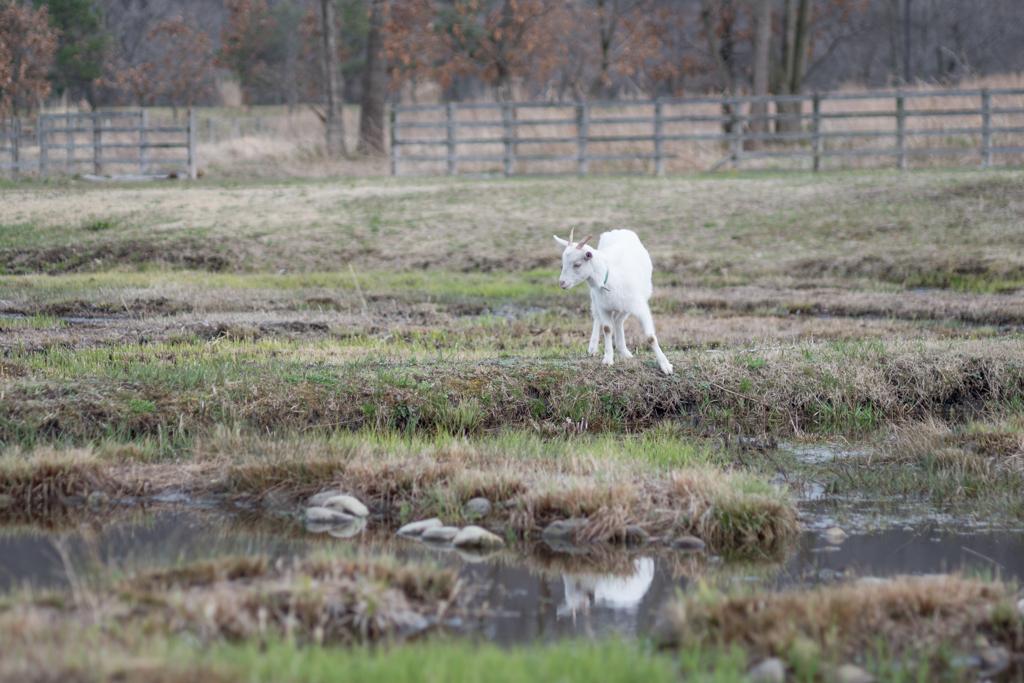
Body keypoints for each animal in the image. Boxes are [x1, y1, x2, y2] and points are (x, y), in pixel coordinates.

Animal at [552, 228, 671, 374]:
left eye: (577, 264)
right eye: (563, 262)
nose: (562, 283)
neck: (610, 277)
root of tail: (618, 230)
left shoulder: (640, 307)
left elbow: (650, 337)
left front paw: (666, 366)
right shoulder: (604, 308)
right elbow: (607, 329)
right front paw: (608, 359)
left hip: (628, 304)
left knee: (619, 321)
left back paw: (624, 351)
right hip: (596, 298)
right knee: (598, 317)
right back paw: (593, 348)